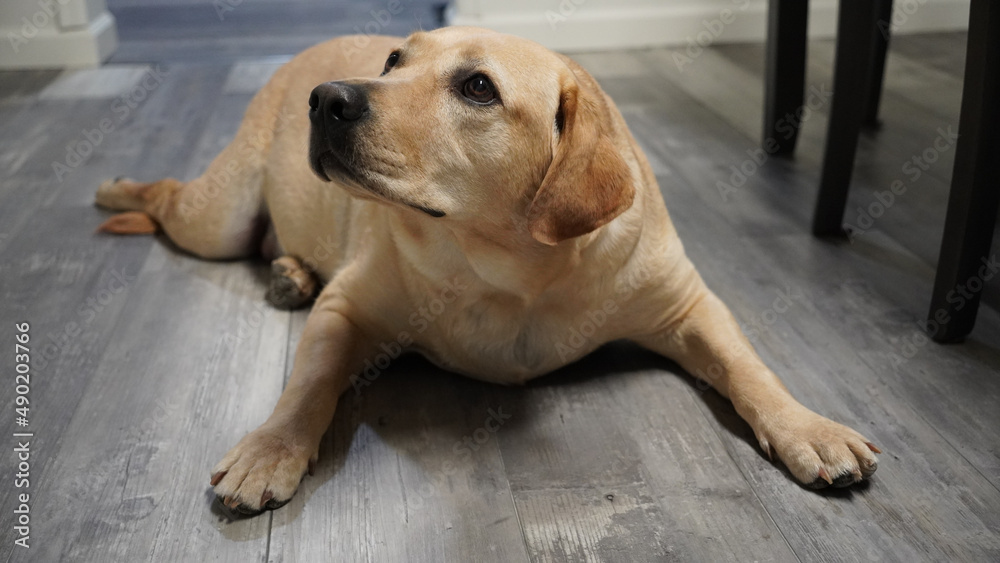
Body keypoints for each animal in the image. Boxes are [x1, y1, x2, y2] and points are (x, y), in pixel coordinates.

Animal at [92, 26, 876, 516]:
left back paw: (287, 269)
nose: (328, 99)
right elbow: (309, 382)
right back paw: (118, 190)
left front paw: (808, 427)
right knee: (166, 197)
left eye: (476, 87)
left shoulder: (689, 306)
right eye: (394, 60)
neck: (512, 271)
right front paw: (270, 448)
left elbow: (750, 367)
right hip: (216, 218)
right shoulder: (348, 310)